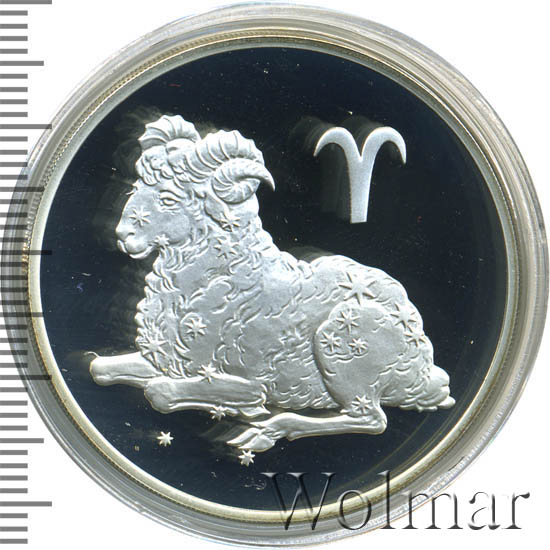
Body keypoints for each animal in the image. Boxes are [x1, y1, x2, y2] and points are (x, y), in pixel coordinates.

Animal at [90, 114, 454, 459]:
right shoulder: (163, 360)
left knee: (371, 419)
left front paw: (246, 408)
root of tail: (422, 362)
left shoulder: (244, 378)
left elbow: (161, 392)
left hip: (342, 342)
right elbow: (99, 368)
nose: (122, 235)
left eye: (168, 198)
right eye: (137, 185)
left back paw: (267, 430)